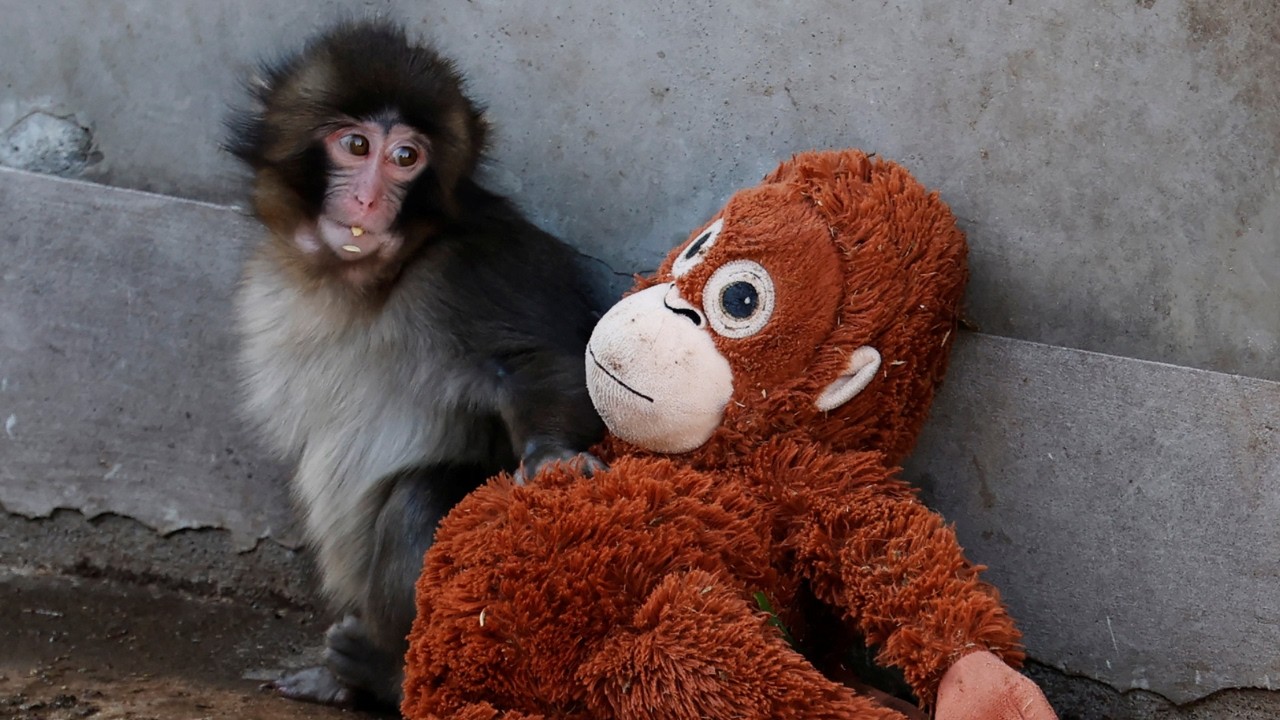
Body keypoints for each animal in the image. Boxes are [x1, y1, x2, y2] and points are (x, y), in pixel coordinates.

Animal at [224, 20, 606, 709]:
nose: (370, 198)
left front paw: (553, 456)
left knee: (420, 500)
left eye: (407, 158)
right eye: (355, 145)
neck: (367, 281)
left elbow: (541, 362)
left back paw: (387, 674)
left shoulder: (475, 266)